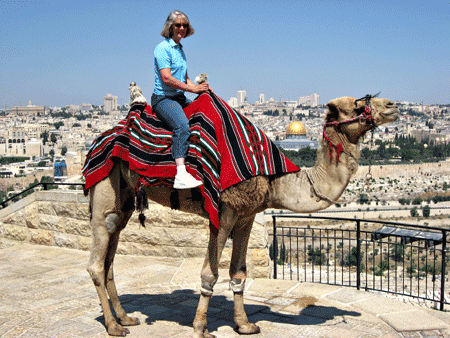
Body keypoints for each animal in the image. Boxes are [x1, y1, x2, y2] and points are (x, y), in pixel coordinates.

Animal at [86, 88, 400, 338]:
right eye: (358, 106)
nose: (393, 105)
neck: (274, 179)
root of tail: (99, 138)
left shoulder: (247, 215)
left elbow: (238, 272)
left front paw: (244, 325)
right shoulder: (223, 213)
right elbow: (210, 274)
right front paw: (201, 328)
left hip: (124, 199)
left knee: (110, 254)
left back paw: (125, 318)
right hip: (104, 184)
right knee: (95, 262)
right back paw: (113, 327)